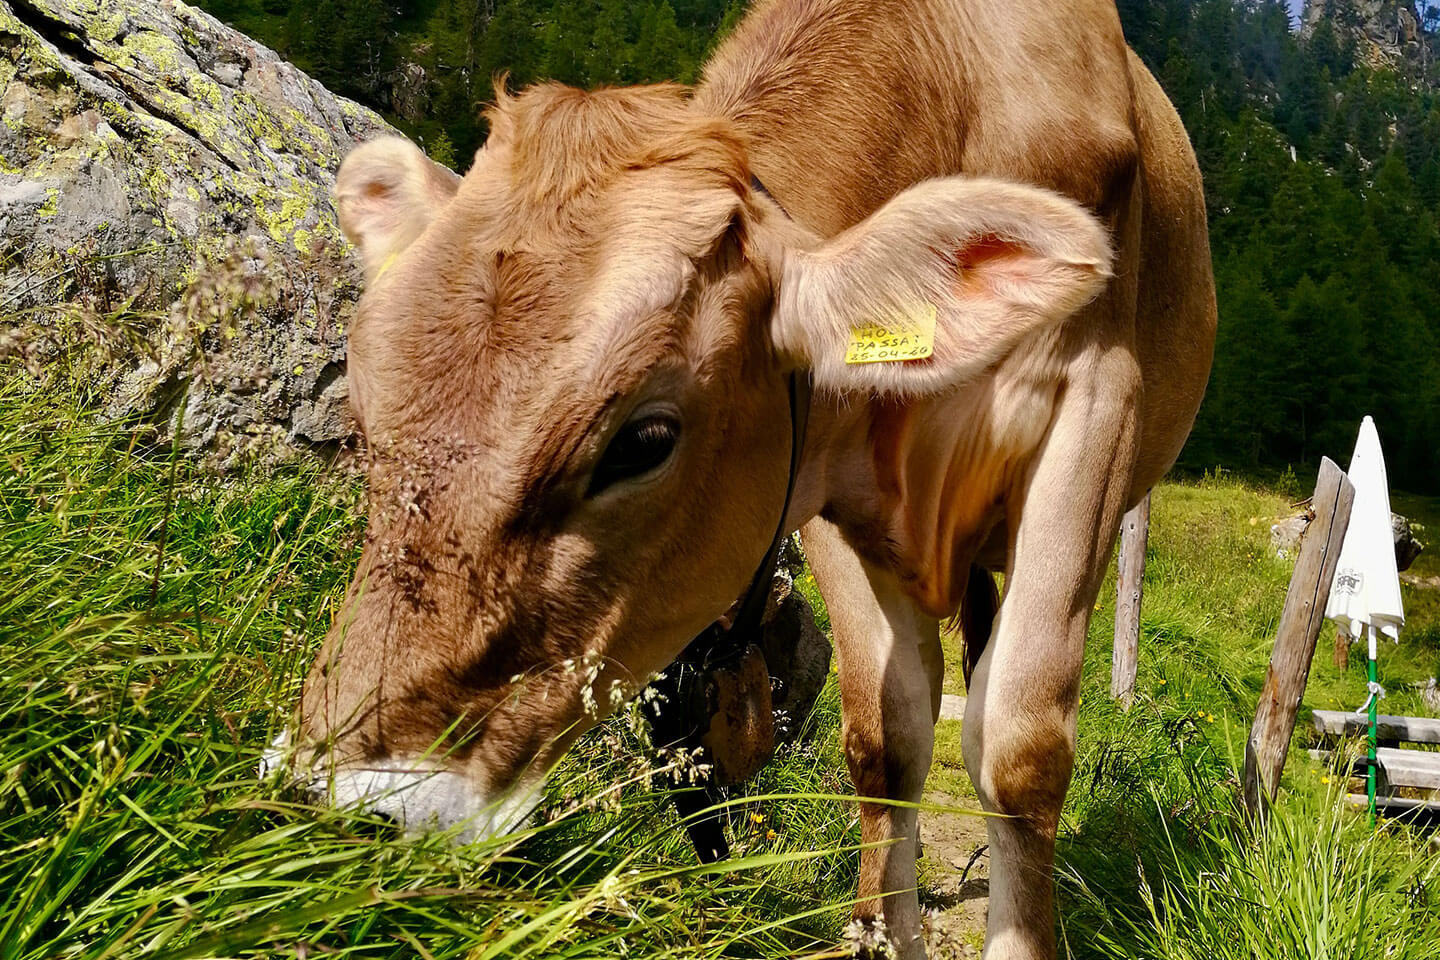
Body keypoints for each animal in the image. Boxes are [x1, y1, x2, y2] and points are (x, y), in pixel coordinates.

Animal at [285, 1, 1216, 957]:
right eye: (365, 407)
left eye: (644, 440)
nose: (354, 807)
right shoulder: (833, 475)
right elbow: (885, 739)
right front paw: (879, 928)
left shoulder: (1099, 406)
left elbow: (1022, 752)